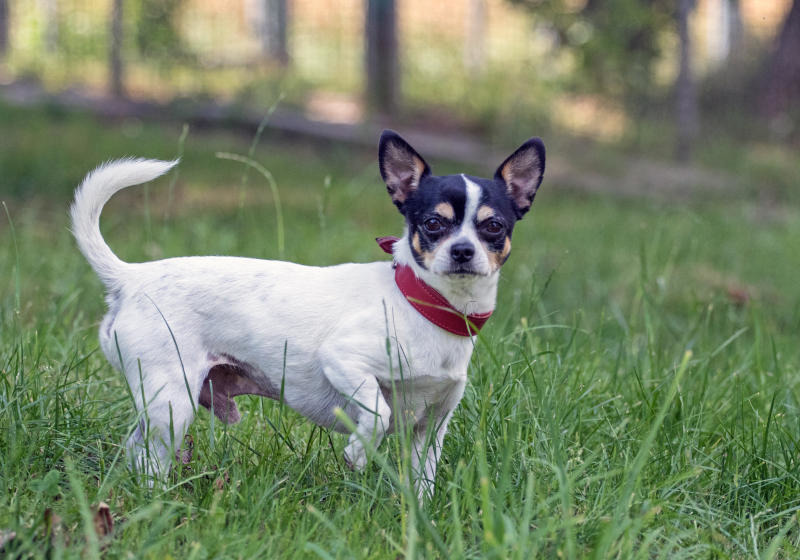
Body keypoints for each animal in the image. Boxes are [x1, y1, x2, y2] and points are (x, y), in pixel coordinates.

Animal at [70, 131, 544, 498]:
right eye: (432, 224)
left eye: (493, 227)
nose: (462, 251)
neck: (426, 307)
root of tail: (131, 277)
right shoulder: (344, 361)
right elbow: (378, 413)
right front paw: (357, 453)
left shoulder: (430, 429)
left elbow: (421, 482)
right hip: (172, 402)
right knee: (149, 460)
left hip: (162, 406)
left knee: (135, 451)